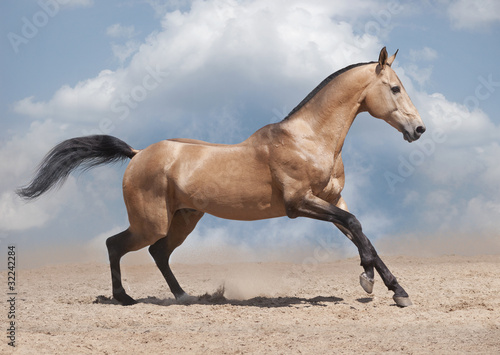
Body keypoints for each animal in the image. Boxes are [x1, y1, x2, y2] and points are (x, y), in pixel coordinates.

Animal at [18, 47, 426, 308]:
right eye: (394, 88)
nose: (418, 129)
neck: (309, 140)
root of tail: (137, 154)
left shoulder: (331, 200)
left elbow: (361, 233)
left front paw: (392, 288)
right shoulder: (300, 204)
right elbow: (356, 226)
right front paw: (373, 283)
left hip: (183, 219)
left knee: (158, 252)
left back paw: (183, 297)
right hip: (151, 222)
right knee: (115, 244)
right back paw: (124, 298)